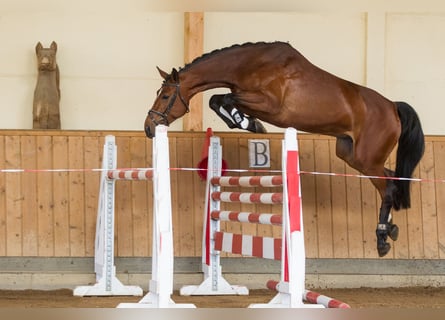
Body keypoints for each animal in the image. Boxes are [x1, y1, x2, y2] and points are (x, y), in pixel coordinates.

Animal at [145, 41, 424, 256]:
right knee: (391, 180)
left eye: (165, 96)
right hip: (352, 155)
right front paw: (245, 122)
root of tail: (392, 107)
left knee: (387, 188)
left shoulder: (268, 104)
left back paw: (382, 239)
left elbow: (224, 98)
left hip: (367, 158)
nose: (149, 127)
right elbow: (218, 99)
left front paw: (249, 123)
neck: (250, 65)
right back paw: (391, 230)